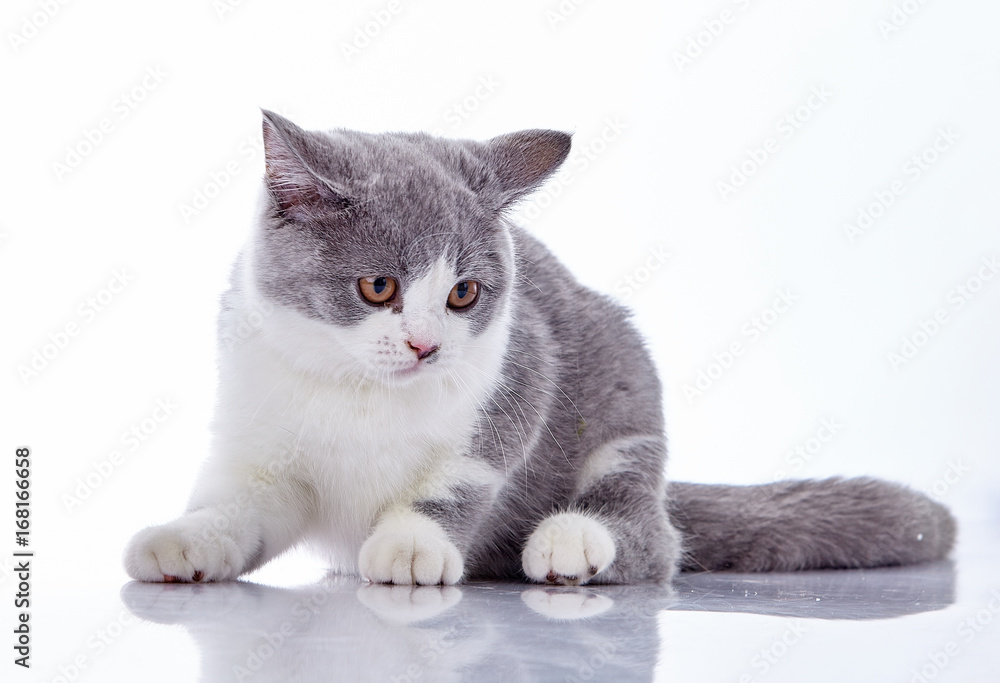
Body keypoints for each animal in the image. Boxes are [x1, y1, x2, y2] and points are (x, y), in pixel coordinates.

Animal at [121, 112, 956, 588]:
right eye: (378, 285)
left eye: (465, 294)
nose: (425, 345)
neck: (359, 389)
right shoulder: (261, 434)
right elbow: (243, 503)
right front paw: (183, 539)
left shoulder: (522, 369)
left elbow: (462, 475)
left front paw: (411, 544)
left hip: (626, 386)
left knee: (654, 536)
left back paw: (573, 538)